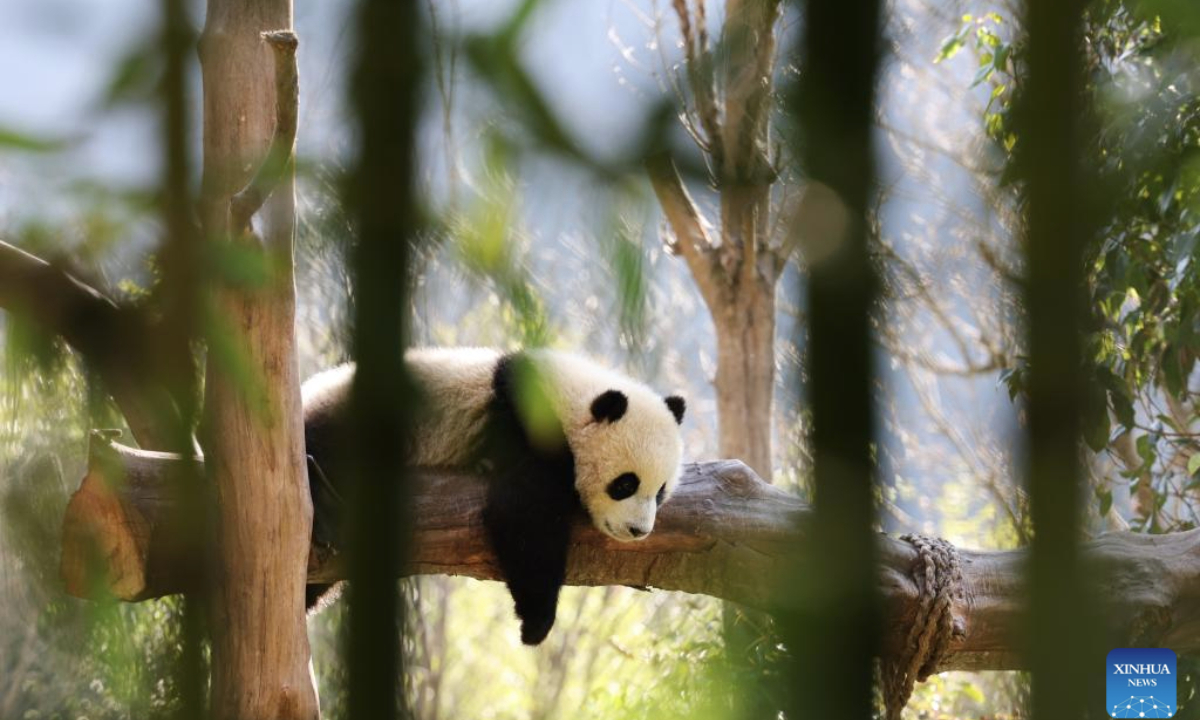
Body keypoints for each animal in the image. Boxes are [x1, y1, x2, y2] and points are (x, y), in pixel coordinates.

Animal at [301, 347, 686, 645]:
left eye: (661, 492)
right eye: (625, 484)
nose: (639, 531)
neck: (570, 396)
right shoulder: (524, 423)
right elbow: (523, 513)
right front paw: (536, 623)